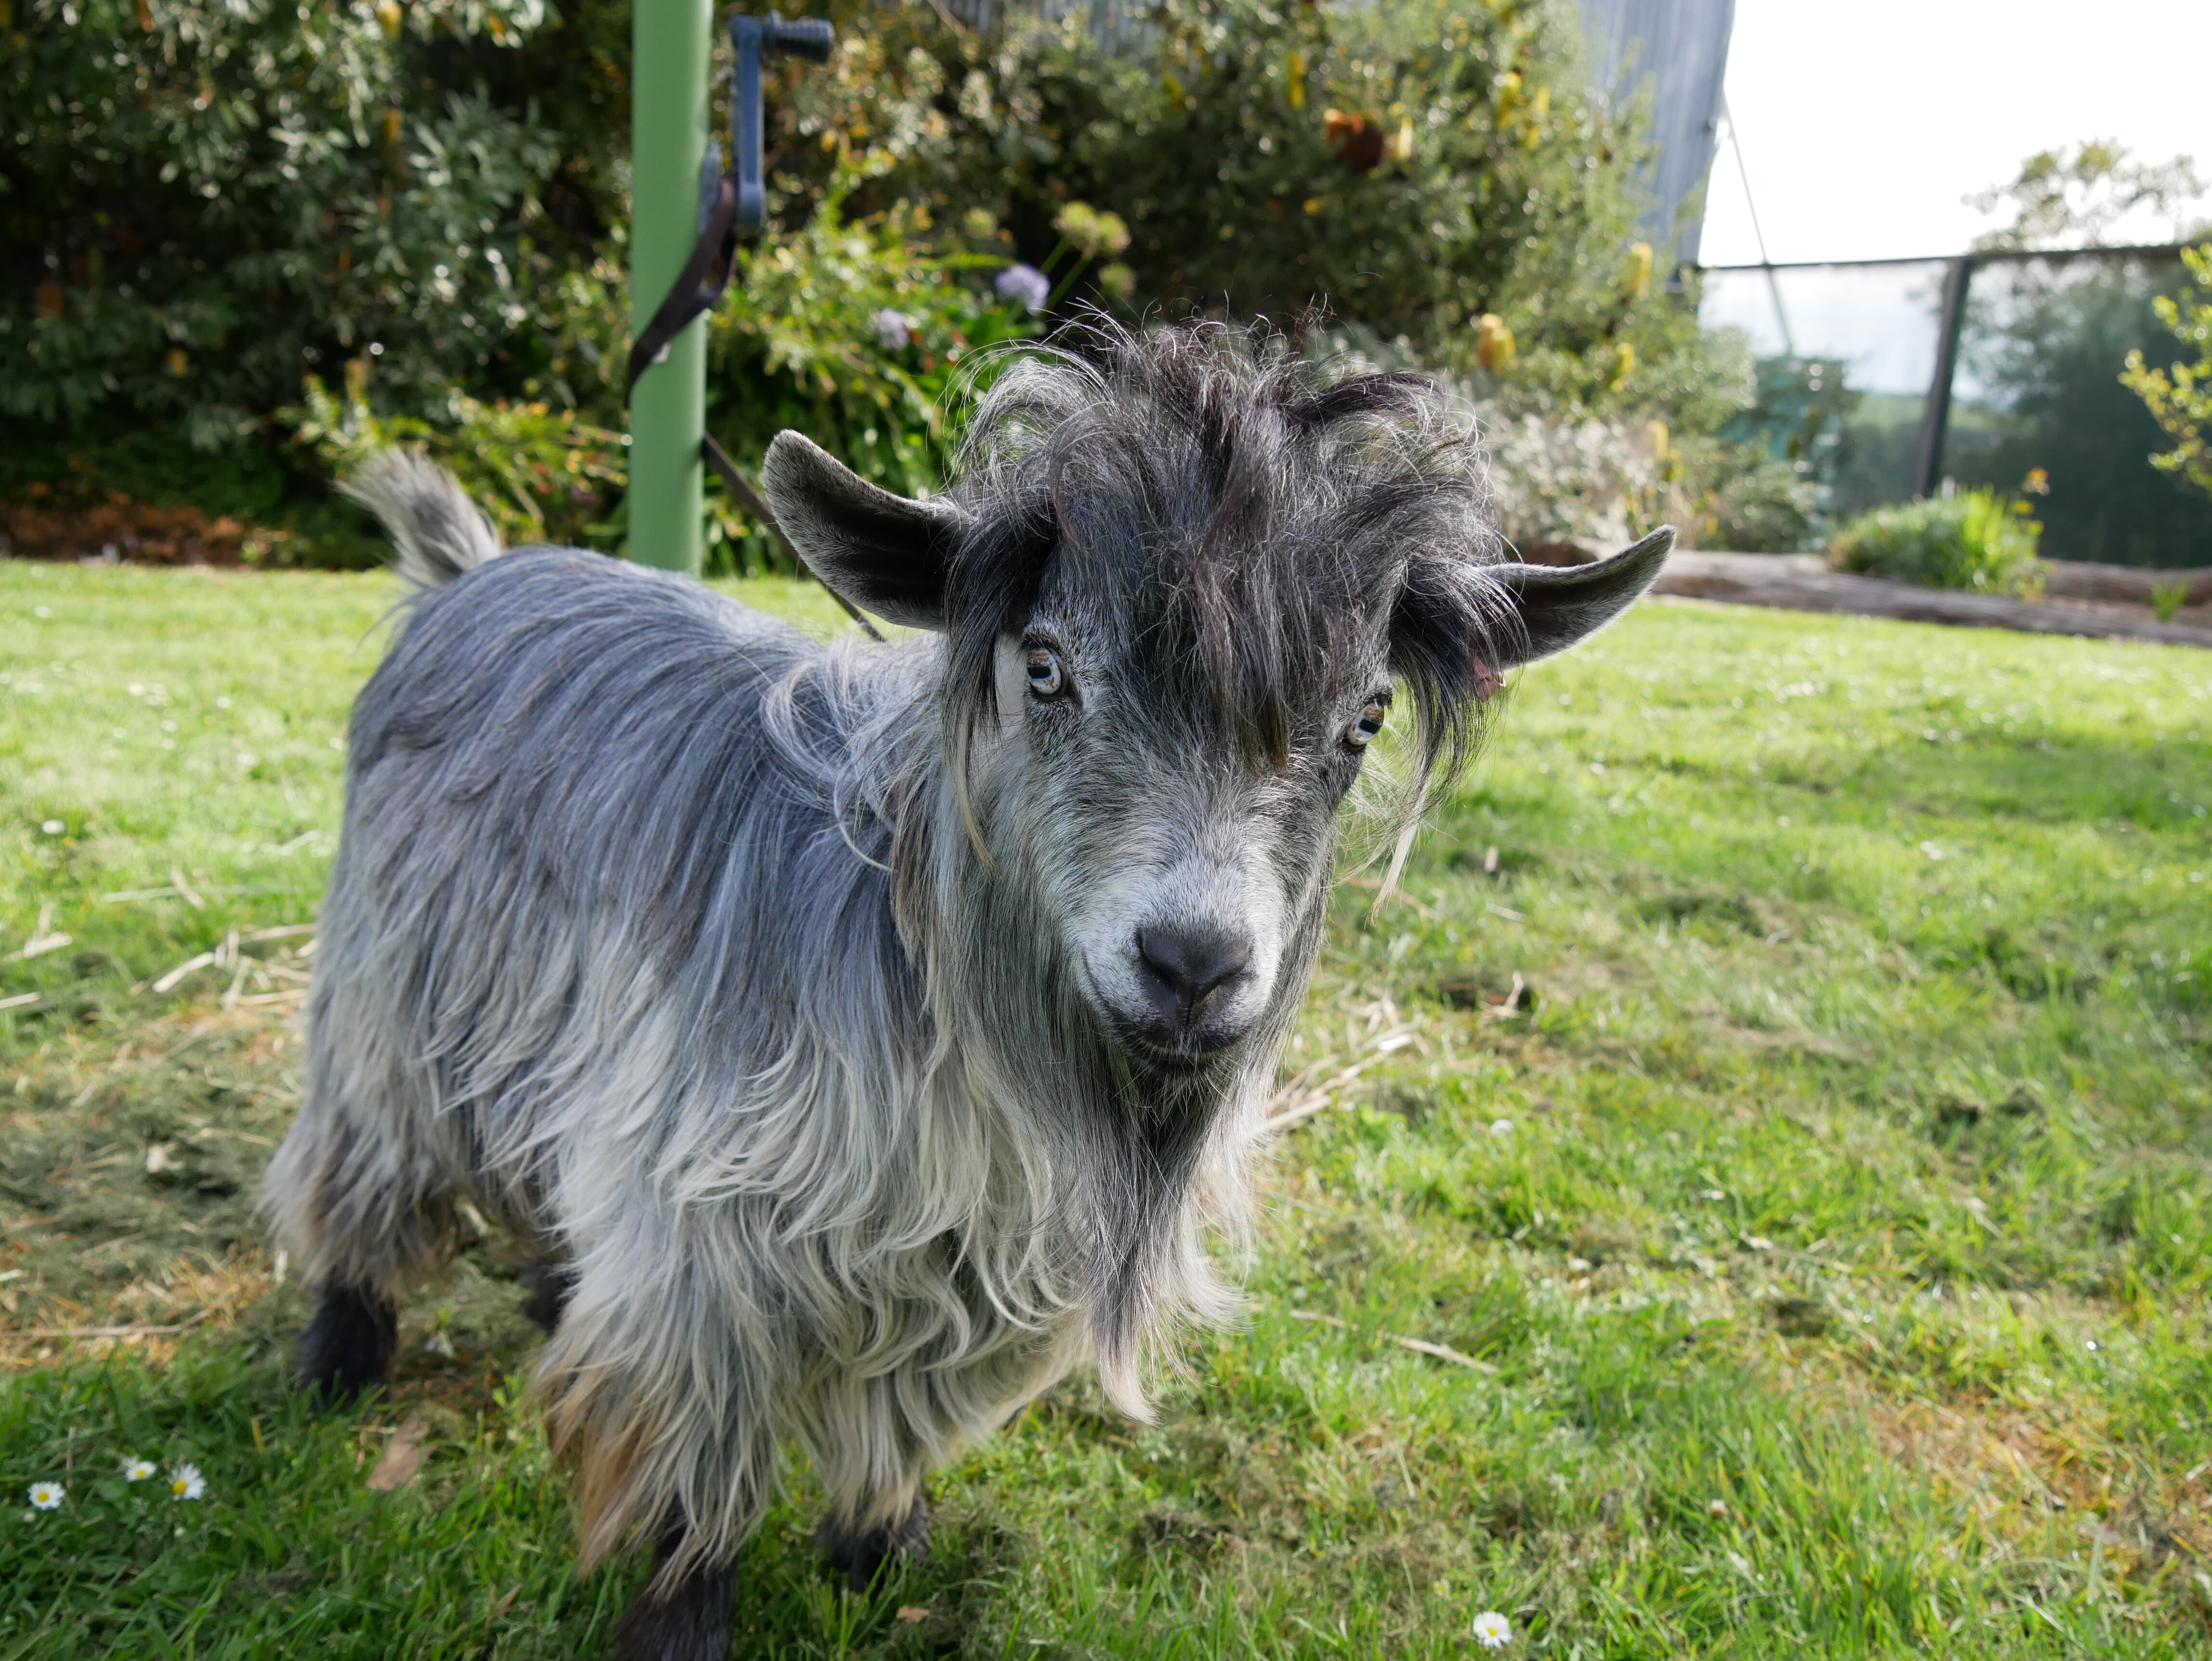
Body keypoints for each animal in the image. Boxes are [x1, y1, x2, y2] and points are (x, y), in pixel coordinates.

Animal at [261, 320, 1670, 1659]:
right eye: (1044, 667)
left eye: (1366, 718)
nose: (1193, 963)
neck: (952, 996)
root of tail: (476, 572)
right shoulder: (706, 1243)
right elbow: (691, 1473)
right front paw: (681, 1624)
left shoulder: (973, 1264)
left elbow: (898, 1425)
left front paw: (883, 1566)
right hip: (393, 997)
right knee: (364, 1165)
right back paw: (338, 1363)